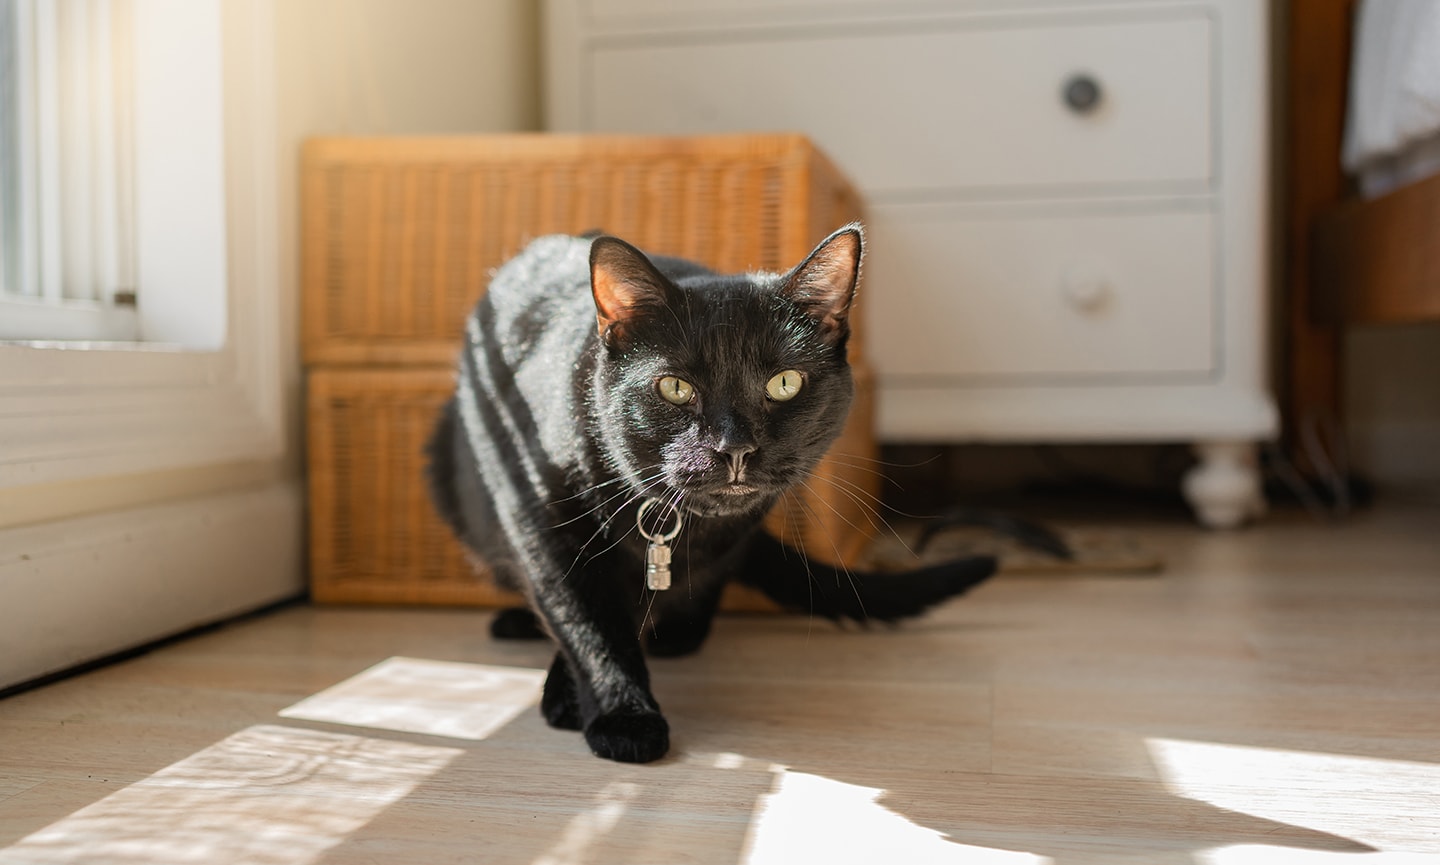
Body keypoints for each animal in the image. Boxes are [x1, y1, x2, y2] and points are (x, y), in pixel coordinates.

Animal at [420, 224, 996, 759]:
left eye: (785, 383)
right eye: (675, 387)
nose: (734, 448)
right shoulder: (537, 513)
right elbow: (586, 618)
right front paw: (621, 714)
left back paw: (679, 632)